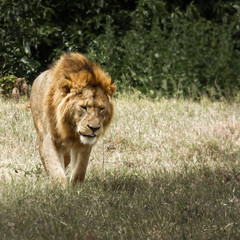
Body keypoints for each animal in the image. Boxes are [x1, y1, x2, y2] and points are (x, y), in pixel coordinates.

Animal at [30, 52, 116, 188]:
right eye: (84, 107)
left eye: (101, 109)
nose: (94, 128)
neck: (71, 131)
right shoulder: (49, 138)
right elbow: (55, 168)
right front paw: (61, 189)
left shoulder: (85, 144)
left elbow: (80, 168)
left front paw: (77, 187)